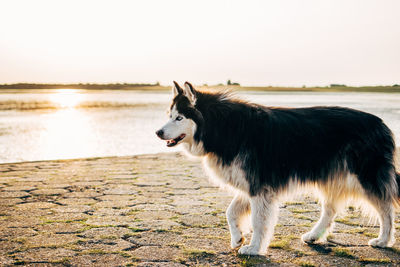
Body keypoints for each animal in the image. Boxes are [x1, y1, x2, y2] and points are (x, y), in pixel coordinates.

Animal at [155, 81, 398, 255]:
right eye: (169, 116)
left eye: (179, 118)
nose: (158, 132)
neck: (223, 126)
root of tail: (383, 124)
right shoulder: (249, 183)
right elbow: (231, 212)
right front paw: (237, 238)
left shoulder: (259, 186)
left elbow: (258, 221)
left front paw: (254, 248)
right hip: (332, 178)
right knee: (330, 210)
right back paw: (314, 235)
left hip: (366, 177)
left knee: (386, 209)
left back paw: (384, 240)